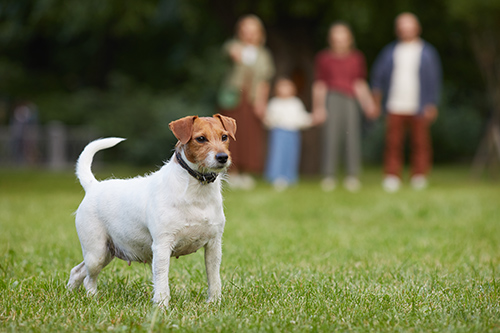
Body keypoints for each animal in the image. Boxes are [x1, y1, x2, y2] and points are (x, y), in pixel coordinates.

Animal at [66, 113, 236, 304]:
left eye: (224, 137)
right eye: (200, 139)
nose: (222, 157)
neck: (197, 190)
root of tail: (93, 186)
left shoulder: (214, 245)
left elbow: (214, 278)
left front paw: (214, 302)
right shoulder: (162, 245)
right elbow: (161, 279)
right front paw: (161, 305)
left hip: (108, 251)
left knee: (77, 272)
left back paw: (71, 294)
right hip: (97, 252)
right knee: (89, 279)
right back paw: (93, 299)